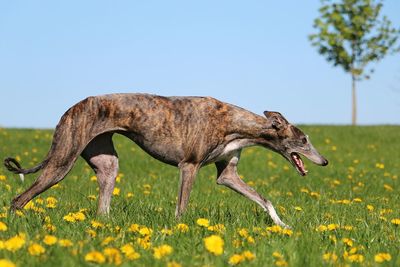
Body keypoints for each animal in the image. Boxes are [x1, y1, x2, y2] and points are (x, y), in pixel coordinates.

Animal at [4, 94, 326, 228]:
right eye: (304, 139)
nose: (324, 161)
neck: (236, 123)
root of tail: (71, 108)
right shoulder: (189, 166)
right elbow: (181, 209)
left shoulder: (228, 175)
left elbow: (265, 199)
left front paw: (283, 225)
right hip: (62, 161)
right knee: (19, 199)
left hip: (107, 164)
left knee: (102, 207)